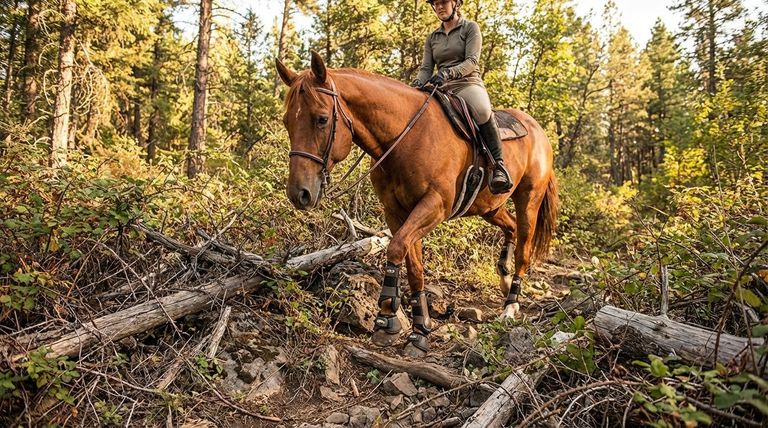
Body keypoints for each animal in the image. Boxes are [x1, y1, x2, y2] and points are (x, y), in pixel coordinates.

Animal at [276, 51, 558, 358]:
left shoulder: (434, 206)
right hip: (489, 207)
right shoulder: (397, 212)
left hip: (528, 201)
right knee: (510, 228)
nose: (299, 193)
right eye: (287, 122)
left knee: (524, 248)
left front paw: (387, 318)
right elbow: (414, 268)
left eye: (322, 119)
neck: (406, 138)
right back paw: (504, 277)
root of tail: (537, 129)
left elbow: (396, 247)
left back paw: (511, 304)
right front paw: (418, 331)